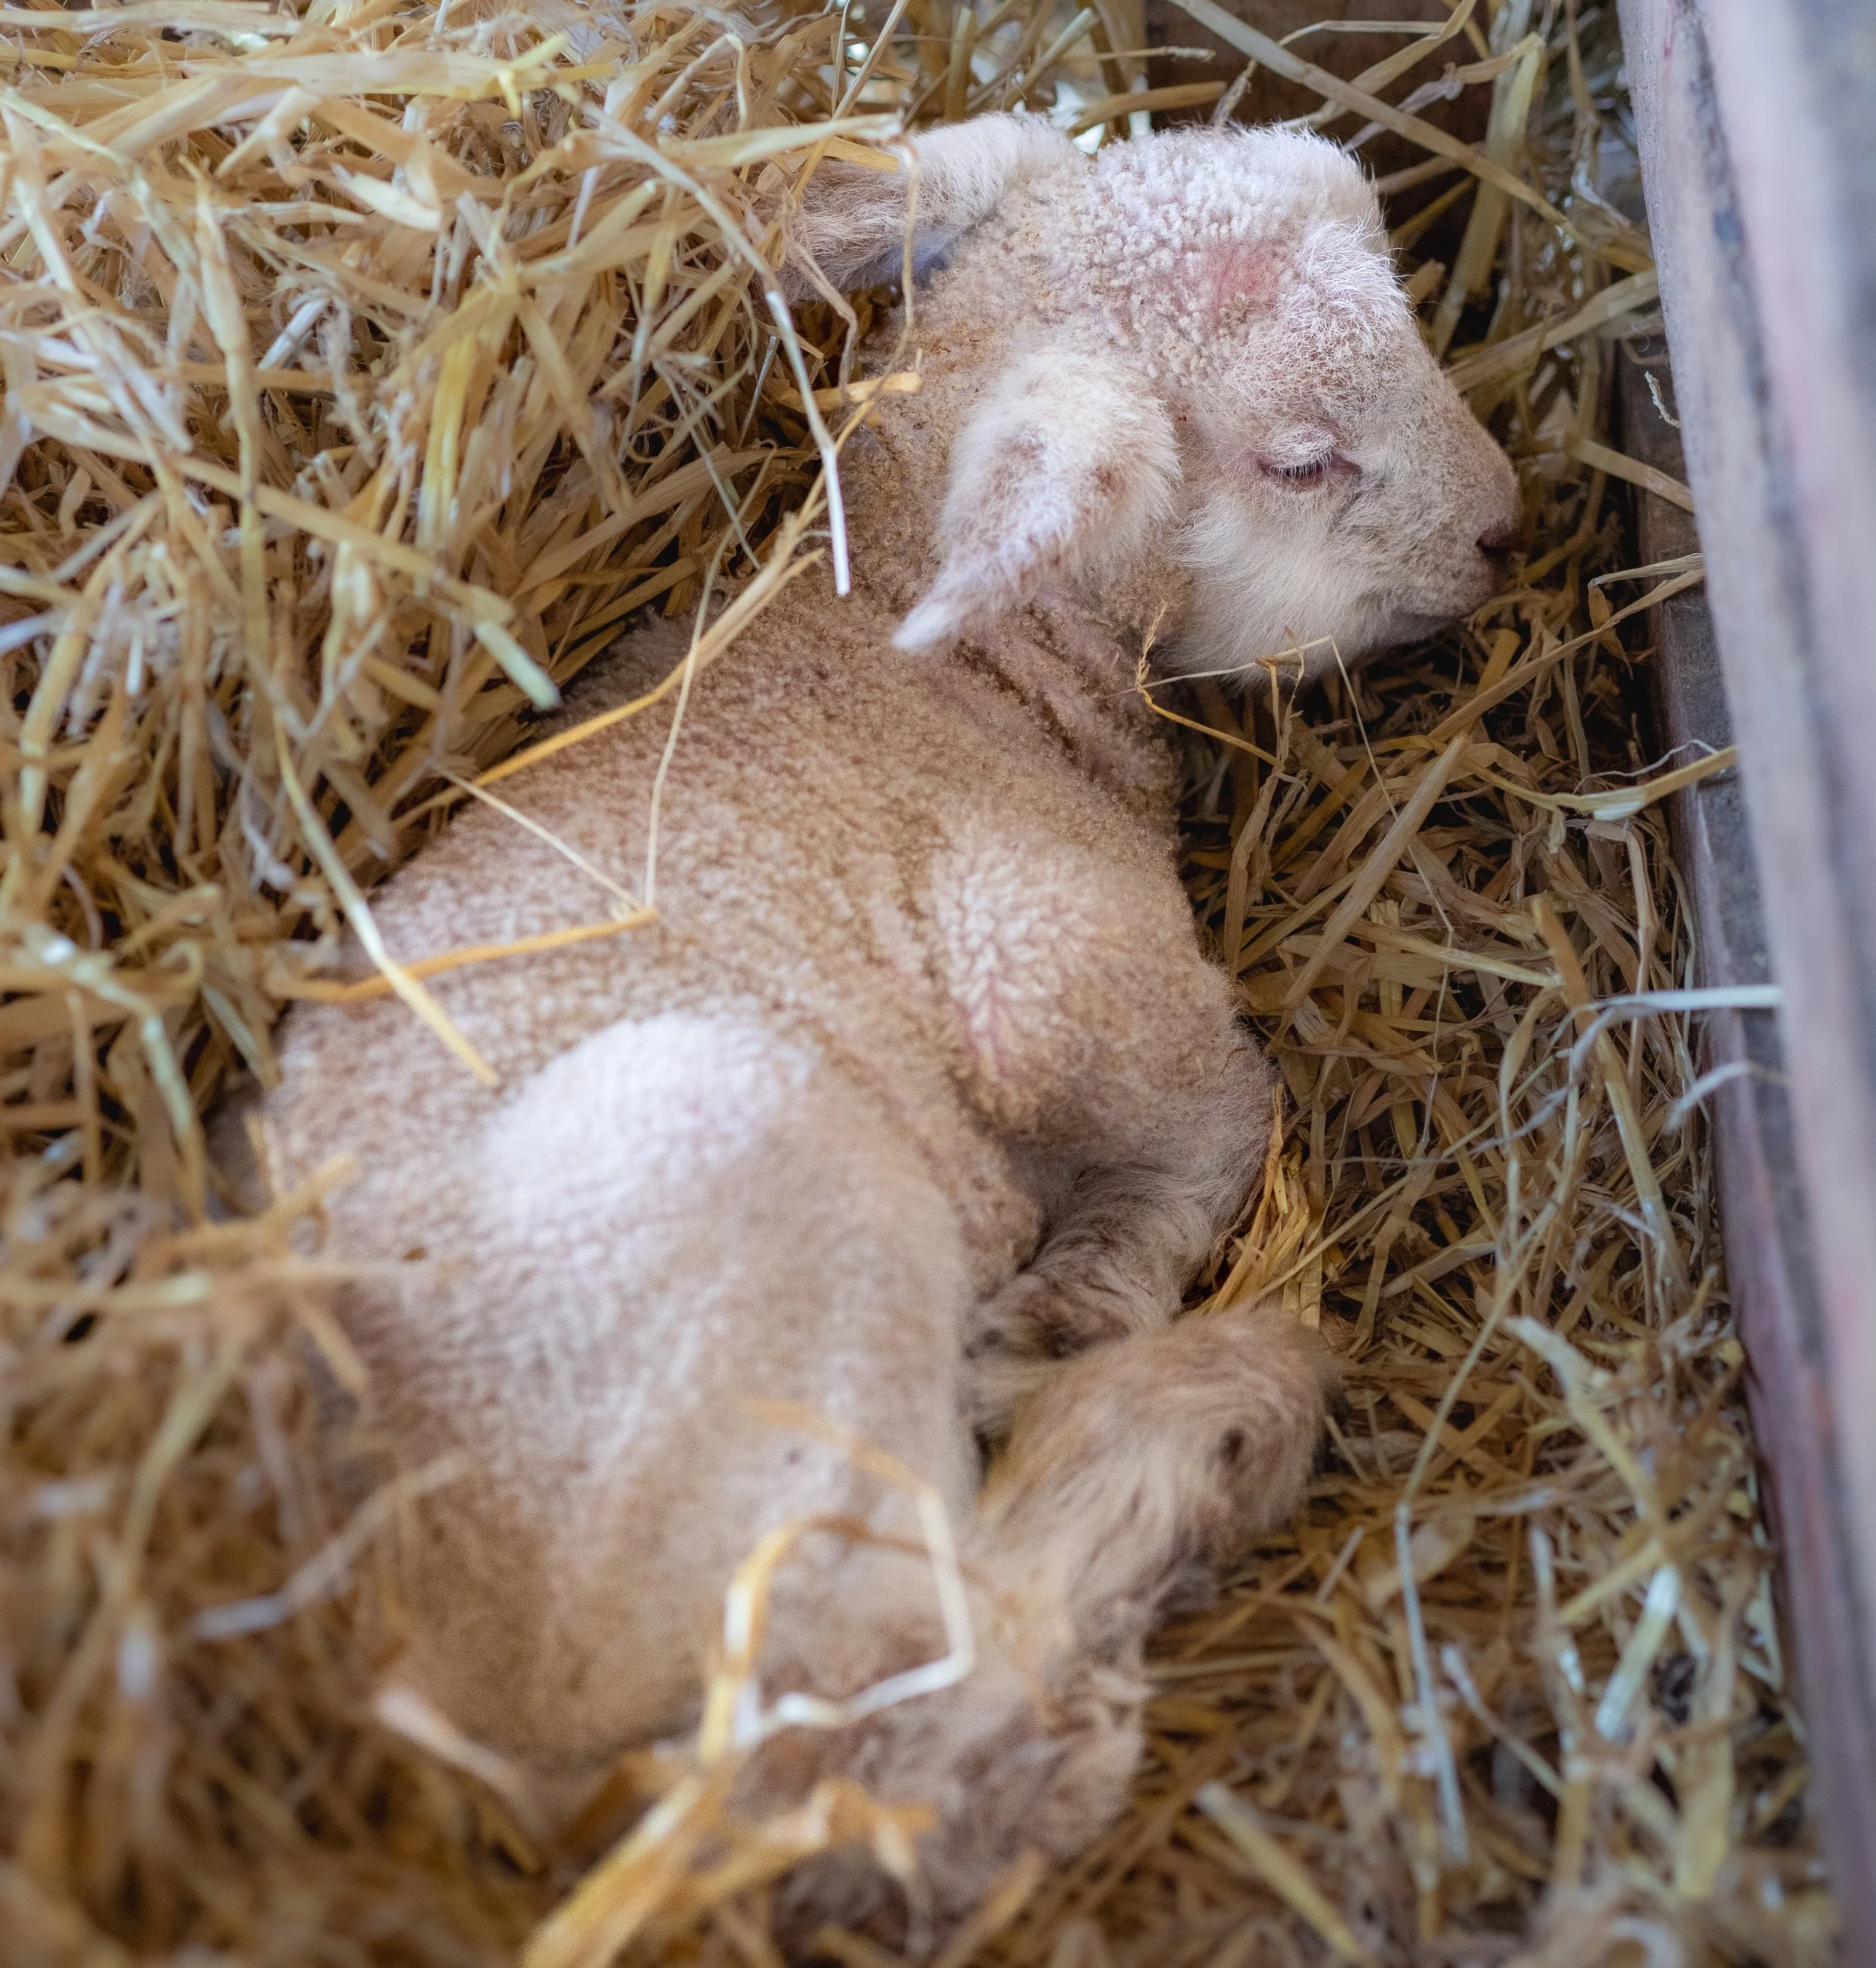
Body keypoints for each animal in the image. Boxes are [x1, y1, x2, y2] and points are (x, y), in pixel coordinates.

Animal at [244, 115, 1517, 1946]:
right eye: (1300, 459)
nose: (1505, 530)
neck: (925, 645)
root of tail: (457, 1718)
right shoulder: (1053, 965)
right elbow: (1223, 1131)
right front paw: (1080, 1307)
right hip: (760, 1230)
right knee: (931, 1726)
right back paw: (1192, 1411)